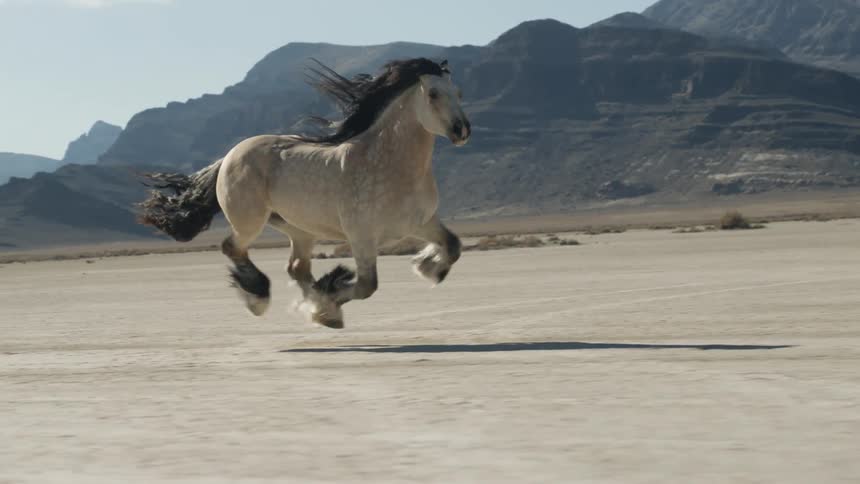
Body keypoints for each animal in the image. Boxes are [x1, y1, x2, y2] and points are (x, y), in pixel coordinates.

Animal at [138, 58, 471, 329]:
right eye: (433, 94)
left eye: (458, 92)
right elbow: (367, 286)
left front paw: (427, 267)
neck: (389, 164)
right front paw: (327, 300)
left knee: (296, 267)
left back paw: (321, 307)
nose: (462, 130)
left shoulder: (420, 222)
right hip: (250, 222)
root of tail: (231, 155)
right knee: (232, 248)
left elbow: (453, 245)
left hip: (299, 229)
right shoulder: (362, 237)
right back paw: (260, 299)